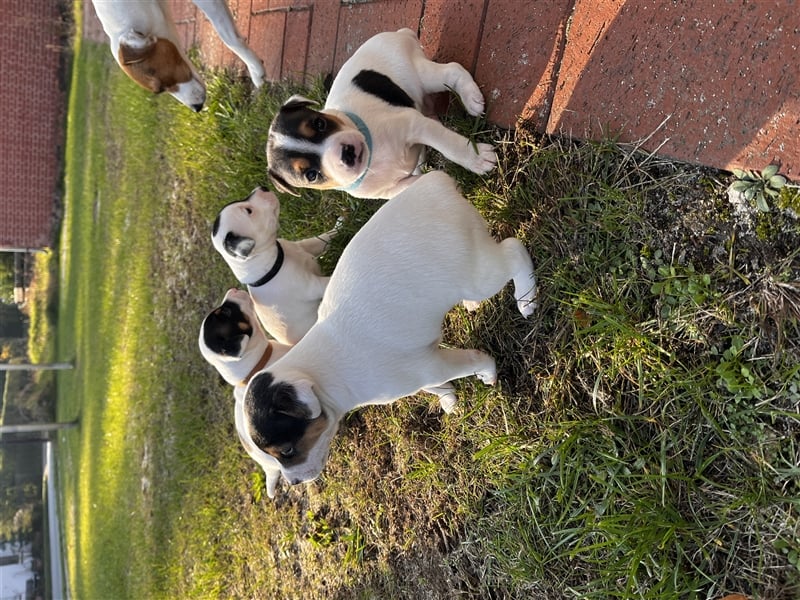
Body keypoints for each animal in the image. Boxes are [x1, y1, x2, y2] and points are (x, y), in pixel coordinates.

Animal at [211, 188, 336, 346]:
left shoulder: (306, 246)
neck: (275, 262)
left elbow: (323, 239)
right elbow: (328, 281)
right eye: (248, 211)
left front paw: (339, 225)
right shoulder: (312, 286)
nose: (263, 187)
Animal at [238, 171, 536, 494]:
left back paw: (527, 298)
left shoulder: (429, 366)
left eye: (288, 451)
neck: (322, 375)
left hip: (478, 276)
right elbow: (435, 387)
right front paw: (448, 399)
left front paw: (488, 374)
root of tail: (434, 183)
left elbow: (472, 362)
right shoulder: (421, 373)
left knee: (514, 251)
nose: (293, 483)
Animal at [266, 27, 496, 199]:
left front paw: (477, 158)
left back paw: (472, 99)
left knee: (452, 70)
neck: (372, 151)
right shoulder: (393, 189)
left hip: (422, 75)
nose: (347, 152)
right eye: (311, 175)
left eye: (319, 123)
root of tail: (398, 33)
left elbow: (449, 145)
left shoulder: (414, 124)